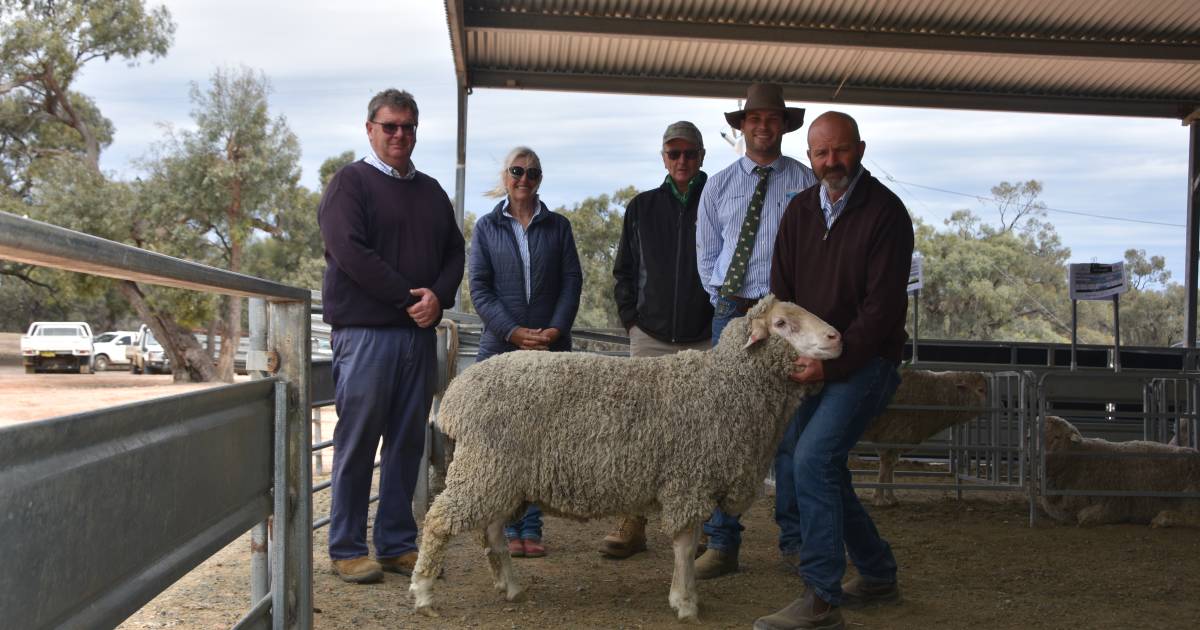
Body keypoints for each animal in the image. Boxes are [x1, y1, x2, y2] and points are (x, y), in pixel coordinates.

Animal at [408, 295, 840, 619]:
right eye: (782, 324)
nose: (836, 336)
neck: (723, 385)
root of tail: (458, 391)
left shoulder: (694, 480)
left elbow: (690, 542)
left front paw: (685, 595)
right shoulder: (687, 480)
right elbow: (686, 544)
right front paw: (685, 602)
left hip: (501, 475)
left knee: (493, 530)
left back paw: (511, 587)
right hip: (485, 466)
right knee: (440, 520)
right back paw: (424, 592)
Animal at [864, 369, 993, 506]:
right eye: (980, 390)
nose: (989, 409)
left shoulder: (898, 440)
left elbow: (890, 466)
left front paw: (891, 497)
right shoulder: (892, 434)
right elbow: (886, 465)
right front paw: (879, 498)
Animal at [1041, 412, 1200, 525]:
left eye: (1057, 437)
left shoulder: (1115, 502)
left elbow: (1084, 516)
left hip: (1190, 494)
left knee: (1192, 517)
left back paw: (1164, 518)